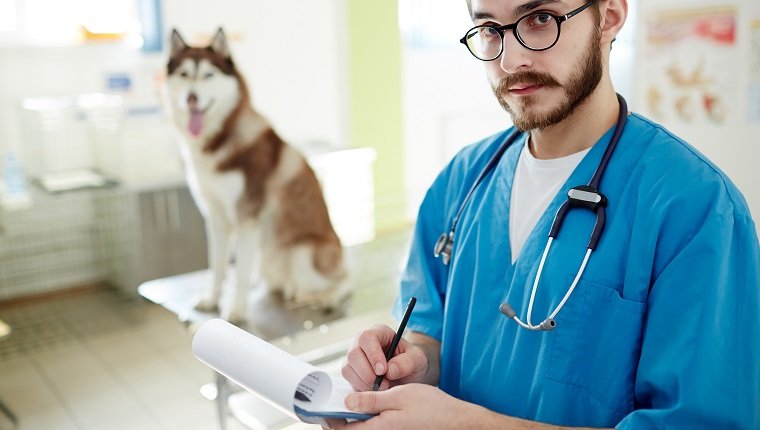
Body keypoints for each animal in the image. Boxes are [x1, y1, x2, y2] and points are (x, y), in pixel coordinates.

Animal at [165, 28, 348, 320]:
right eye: (184, 74)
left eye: (208, 75)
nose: (191, 97)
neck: (220, 139)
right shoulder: (215, 219)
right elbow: (217, 267)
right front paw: (212, 300)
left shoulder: (247, 219)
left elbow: (239, 272)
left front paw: (237, 310)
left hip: (301, 257)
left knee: (345, 279)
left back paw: (329, 298)